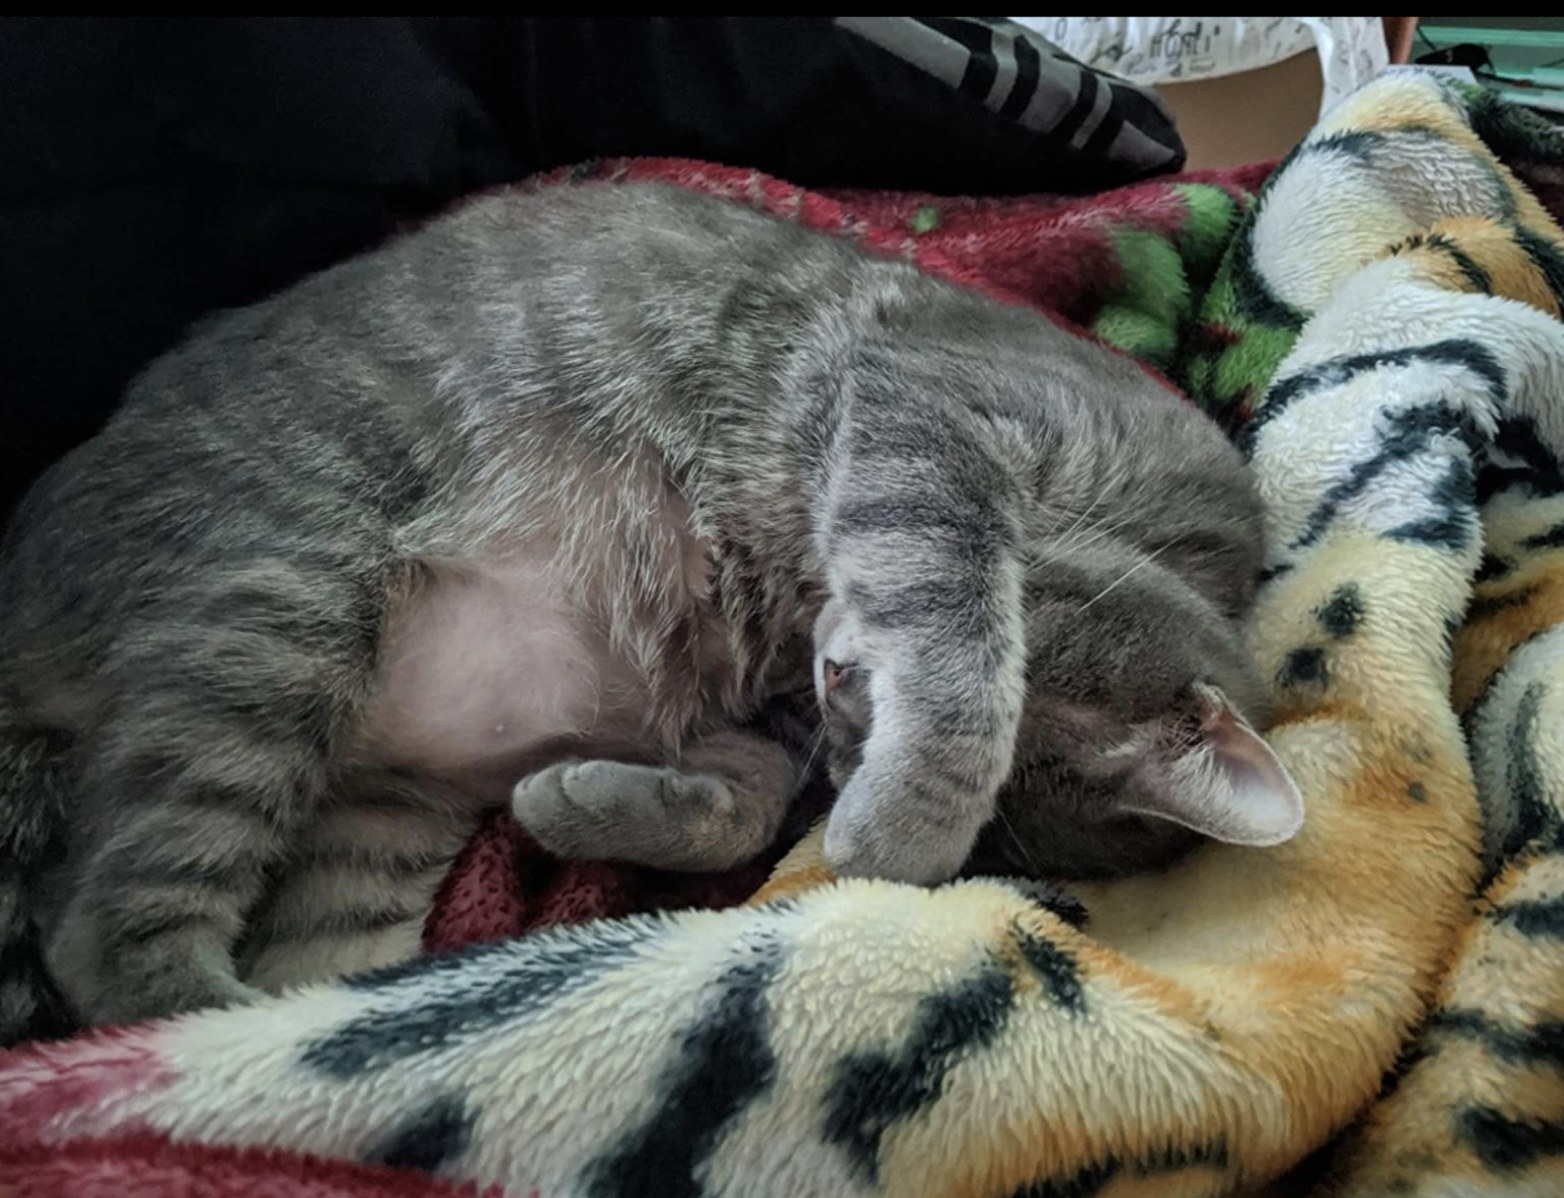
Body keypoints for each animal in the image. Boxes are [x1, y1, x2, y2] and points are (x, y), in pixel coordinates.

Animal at [0, 182, 1301, 1044]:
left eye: (848, 732)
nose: (841, 689)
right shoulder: (925, 422)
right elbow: (953, 624)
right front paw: (907, 824)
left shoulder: (757, 710)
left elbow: (742, 810)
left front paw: (588, 806)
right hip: (277, 607)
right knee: (103, 941)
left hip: (372, 813)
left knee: (281, 954)